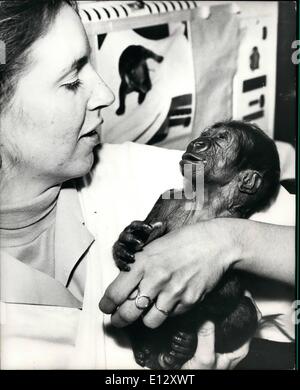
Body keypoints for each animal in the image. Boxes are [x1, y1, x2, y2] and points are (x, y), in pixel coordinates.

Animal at [113, 120, 282, 370]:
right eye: (206, 134)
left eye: (222, 139)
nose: (197, 142)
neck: (207, 202)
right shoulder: (166, 200)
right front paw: (126, 242)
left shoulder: (238, 230)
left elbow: (229, 288)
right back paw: (145, 345)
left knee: (244, 312)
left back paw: (182, 347)